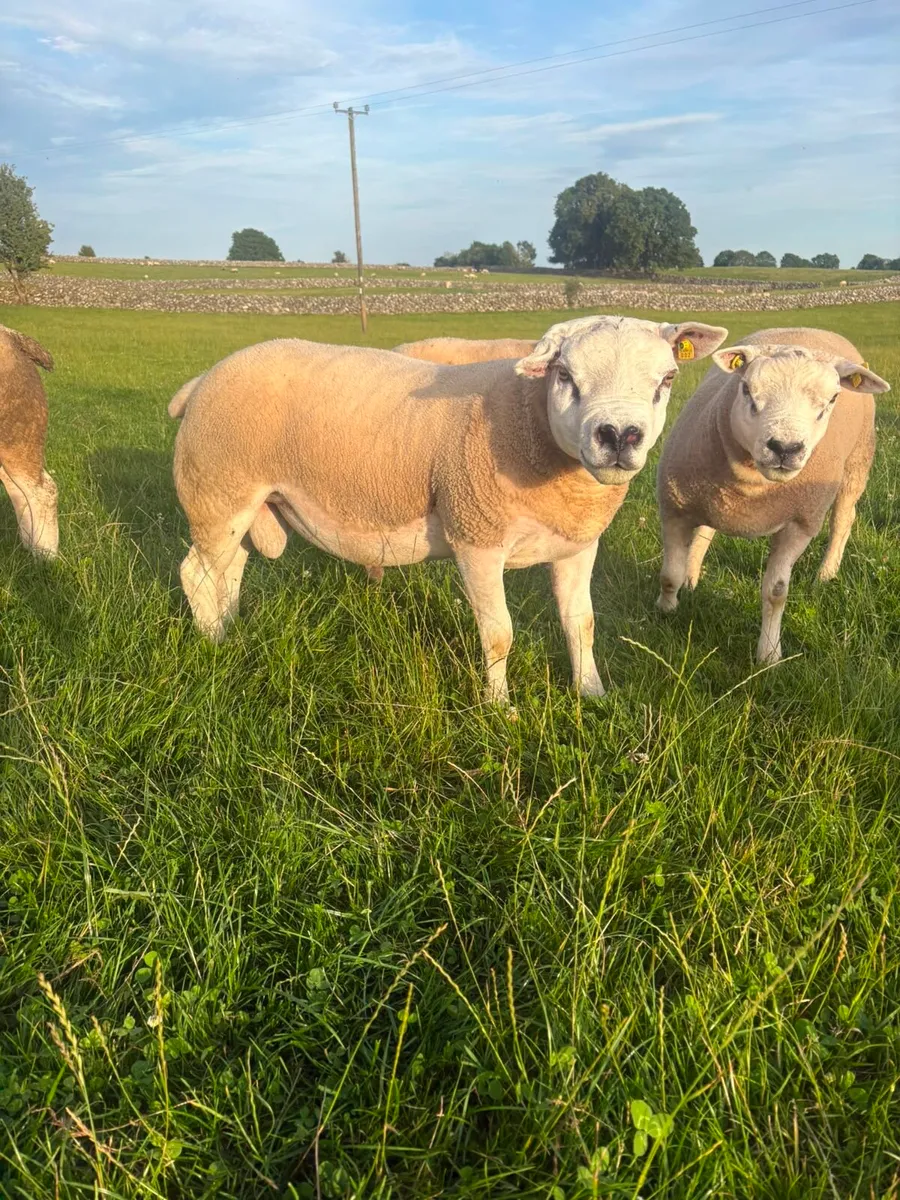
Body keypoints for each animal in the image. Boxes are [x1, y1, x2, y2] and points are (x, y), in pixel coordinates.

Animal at [171, 315, 727, 704]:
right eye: (565, 375)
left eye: (668, 378)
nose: (618, 435)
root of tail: (200, 380)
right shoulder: (475, 534)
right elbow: (499, 635)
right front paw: (500, 709)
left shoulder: (577, 543)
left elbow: (581, 623)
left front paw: (591, 694)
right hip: (215, 488)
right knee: (196, 573)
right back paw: (212, 644)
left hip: (243, 501)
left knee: (230, 569)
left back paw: (229, 630)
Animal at [656, 326, 890, 664]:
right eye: (746, 389)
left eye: (833, 398)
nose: (785, 448)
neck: (752, 487)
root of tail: (814, 329)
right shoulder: (675, 504)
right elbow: (669, 573)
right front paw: (666, 609)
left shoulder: (800, 524)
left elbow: (776, 592)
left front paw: (769, 655)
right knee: (705, 531)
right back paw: (691, 576)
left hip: (858, 461)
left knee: (843, 519)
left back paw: (826, 574)